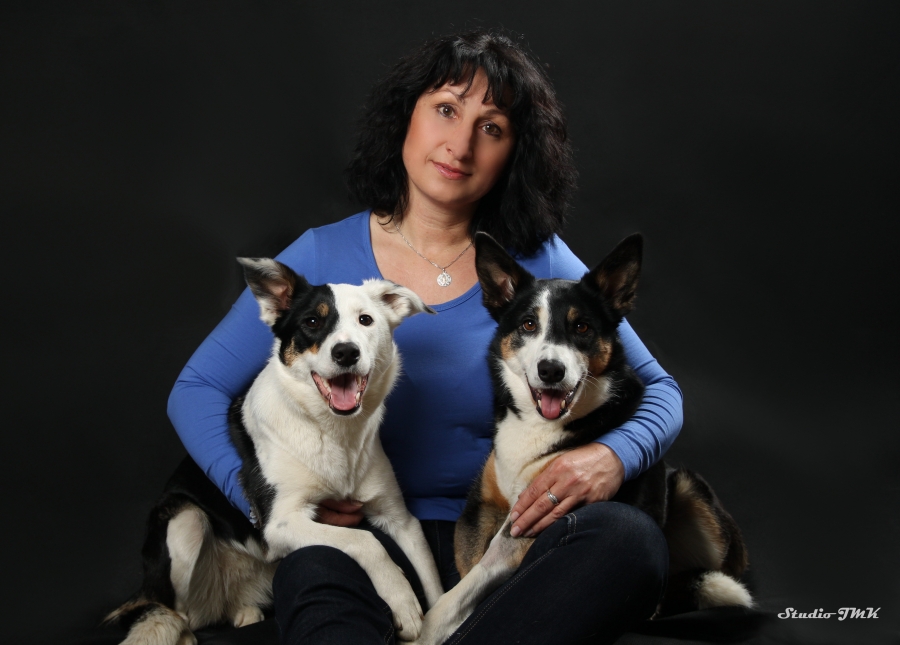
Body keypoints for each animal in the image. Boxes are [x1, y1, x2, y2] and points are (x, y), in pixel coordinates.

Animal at [106, 258, 444, 644]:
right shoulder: (281, 522)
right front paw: (402, 600)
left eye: (366, 320)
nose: (346, 353)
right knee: (177, 612)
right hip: (184, 521)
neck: (333, 431)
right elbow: (364, 540)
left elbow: (435, 585)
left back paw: (244, 611)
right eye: (311, 322)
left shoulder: (402, 521)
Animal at [412, 233, 753, 644]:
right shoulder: (482, 507)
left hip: (689, 487)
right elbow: (465, 577)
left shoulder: (532, 516)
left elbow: (466, 587)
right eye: (528, 324)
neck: (539, 427)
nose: (551, 370)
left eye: (583, 328)